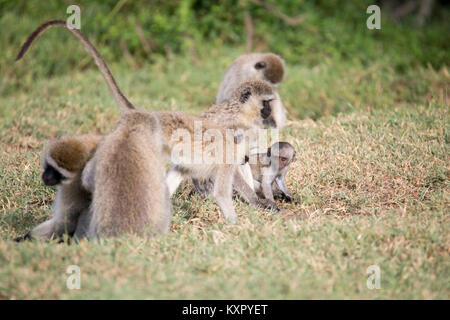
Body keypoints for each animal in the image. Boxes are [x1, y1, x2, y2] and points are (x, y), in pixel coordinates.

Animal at [15, 21, 272, 224]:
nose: (246, 158)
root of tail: (145, 115)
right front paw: (247, 214)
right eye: (265, 104)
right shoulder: (228, 152)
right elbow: (224, 189)